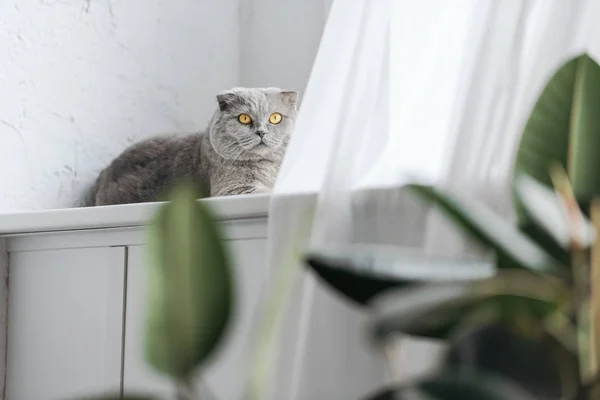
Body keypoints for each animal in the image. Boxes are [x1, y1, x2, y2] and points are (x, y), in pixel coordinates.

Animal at [83, 87, 298, 206]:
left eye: (275, 117)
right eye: (244, 118)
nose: (261, 132)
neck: (271, 166)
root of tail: (105, 171)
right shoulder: (233, 189)